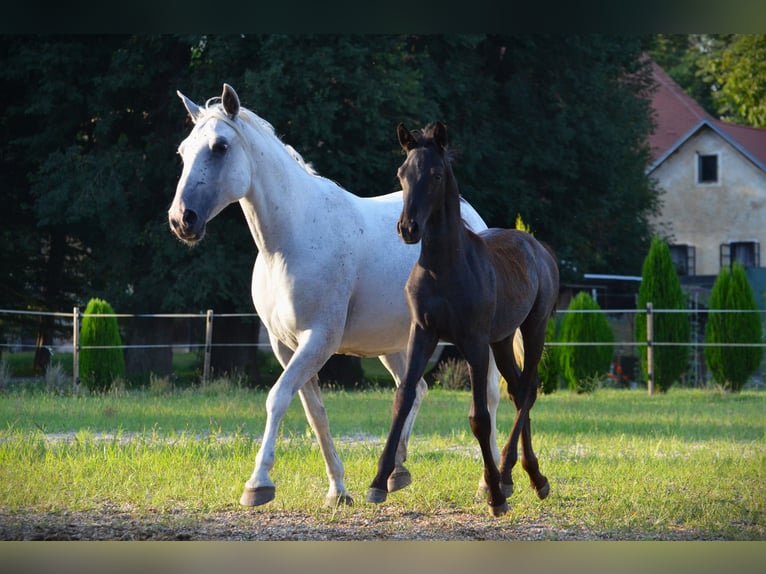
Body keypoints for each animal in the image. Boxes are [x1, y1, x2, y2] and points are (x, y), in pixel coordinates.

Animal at [167, 84, 504, 508]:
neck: (290, 239)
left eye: (220, 147)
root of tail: (471, 219)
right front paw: (338, 490)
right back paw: (396, 471)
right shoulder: (285, 346)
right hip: (395, 344)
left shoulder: (319, 340)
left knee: (488, 395)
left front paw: (258, 484)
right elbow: (316, 413)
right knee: (414, 390)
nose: (182, 220)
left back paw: (489, 483)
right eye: (183, 151)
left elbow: (277, 397)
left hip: (476, 338)